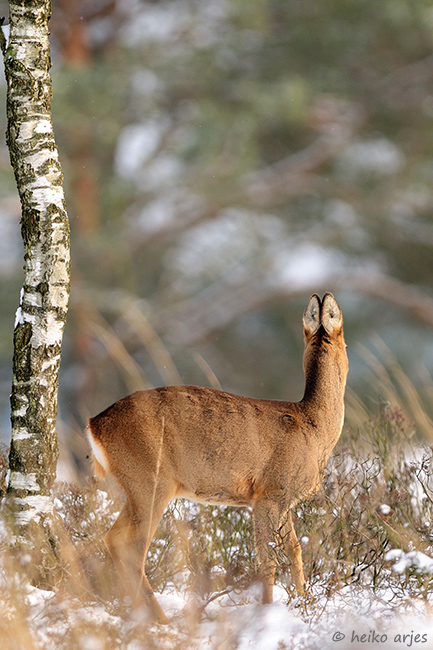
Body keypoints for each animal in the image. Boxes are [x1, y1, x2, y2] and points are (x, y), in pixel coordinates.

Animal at [87, 292, 348, 620]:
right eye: (346, 343)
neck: (314, 427)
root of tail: (94, 424)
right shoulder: (270, 492)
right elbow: (268, 556)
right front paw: (267, 611)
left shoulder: (281, 499)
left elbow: (293, 548)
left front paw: (303, 604)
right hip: (151, 480)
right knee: (130, 547)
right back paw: (160, 620)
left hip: (138, 486)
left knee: (114, 540)